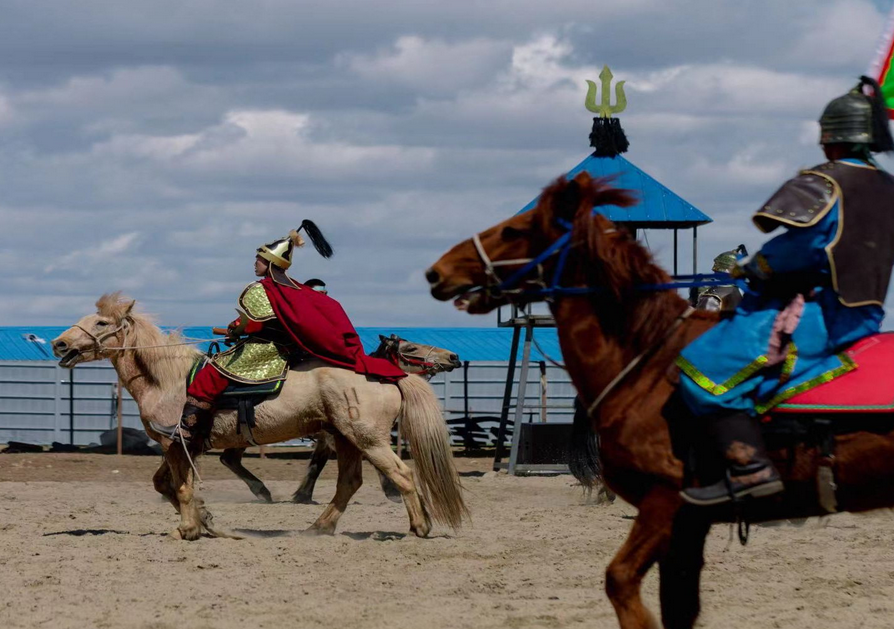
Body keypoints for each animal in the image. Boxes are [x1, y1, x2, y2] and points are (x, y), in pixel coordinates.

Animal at [220, 332, 462, 502]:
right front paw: (392, 492)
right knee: (229, 459)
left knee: (229, 459)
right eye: (411, 347)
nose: (454, 356)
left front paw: (303, 495)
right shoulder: (343, 434)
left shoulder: (331, 437)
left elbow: (317, 464)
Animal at [428, 169, 894, 624]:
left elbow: (621, 580)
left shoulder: (667, 503)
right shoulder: (686, 523)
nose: (437, 272)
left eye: (514, 230)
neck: (650, 363)